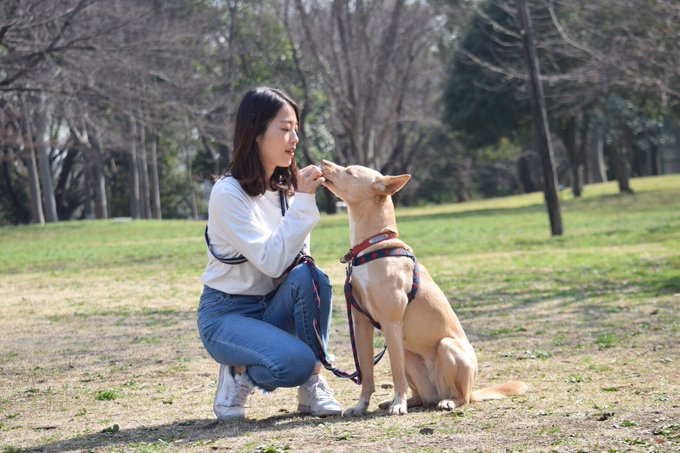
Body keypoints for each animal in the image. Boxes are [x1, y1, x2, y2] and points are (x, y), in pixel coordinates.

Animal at [320, 160, 528, 416]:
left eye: (349, 171)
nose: (323, 162)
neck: (373, 245)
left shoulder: (391, 322)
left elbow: (395, 373)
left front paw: (398, 403)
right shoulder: (361, 325)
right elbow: (367, 374)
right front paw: (361, 405)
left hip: (446, 348)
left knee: (461, 397)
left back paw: (444, 402)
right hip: (409, 355)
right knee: (421, 396)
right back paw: (403, 402)